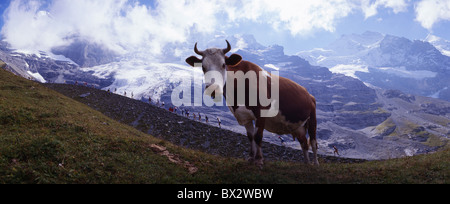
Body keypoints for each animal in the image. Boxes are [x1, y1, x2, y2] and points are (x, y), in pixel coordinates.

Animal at [185, 40, 318, 166]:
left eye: (223, 64)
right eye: (203, 67)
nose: (212, 88)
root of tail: (309, 95)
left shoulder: (261, 112)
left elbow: (258, 136)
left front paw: (259, 160)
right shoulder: (245, 116)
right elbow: (250, 137)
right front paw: (251, 158)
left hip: (312, 120)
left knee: (313, 143)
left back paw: (315, 164)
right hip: (298, 127)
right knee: (304, 143)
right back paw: (306, 163)